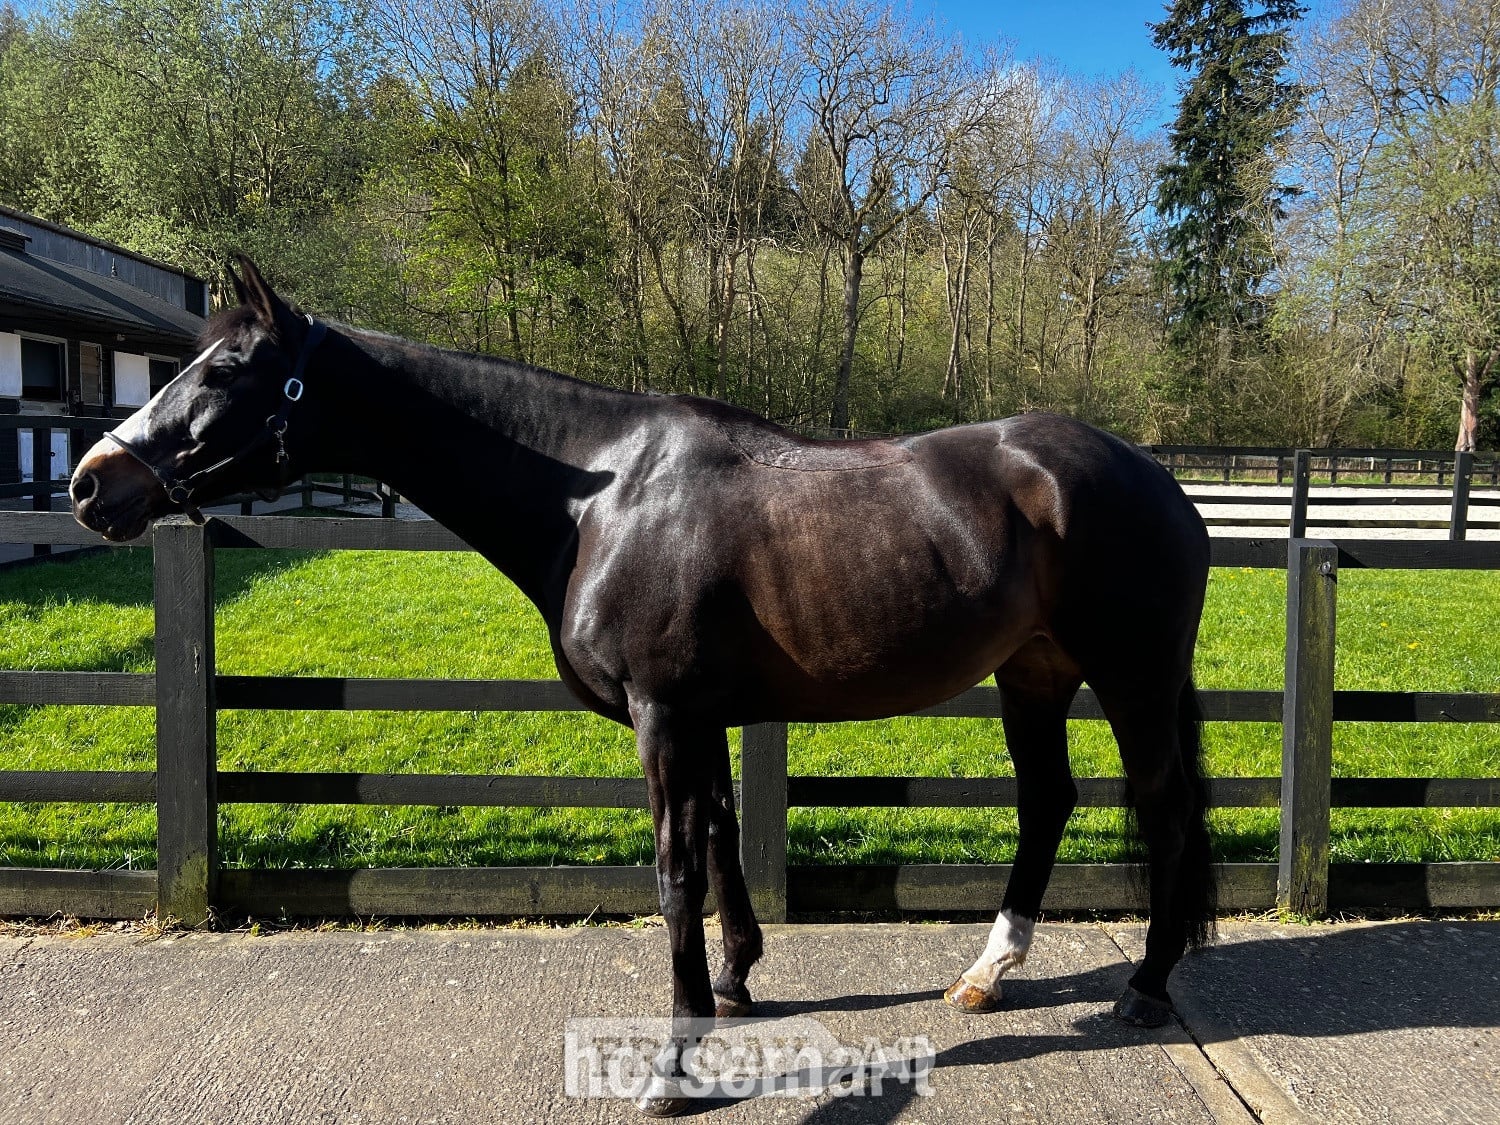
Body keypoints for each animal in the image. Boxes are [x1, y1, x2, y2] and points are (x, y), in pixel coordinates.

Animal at [70, 257, 1214, 1115]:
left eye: (227, 368)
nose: (91, 483)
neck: (600, 496)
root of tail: (1158, 477)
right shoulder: (697, 716)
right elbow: (718, 845)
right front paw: (735, 982)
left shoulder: (663, 717)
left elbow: (673, 873)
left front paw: (673, 1065)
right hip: (1033, 672)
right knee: (1047, 800)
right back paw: (987, 972)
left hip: (1131, 674)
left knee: (1161, 809)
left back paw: (1148, 985)